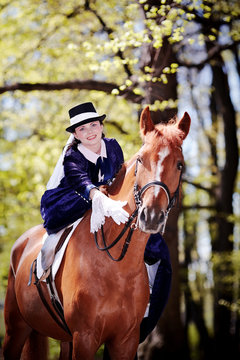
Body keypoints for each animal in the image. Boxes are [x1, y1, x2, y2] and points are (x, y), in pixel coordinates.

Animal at [1, 105, 189, 358]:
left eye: (179, 164)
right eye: (141, 159)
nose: (151, 216)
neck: (118, 266)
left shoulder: (126, 340)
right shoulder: (85, 337)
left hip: (60, 337)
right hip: (16, 329)